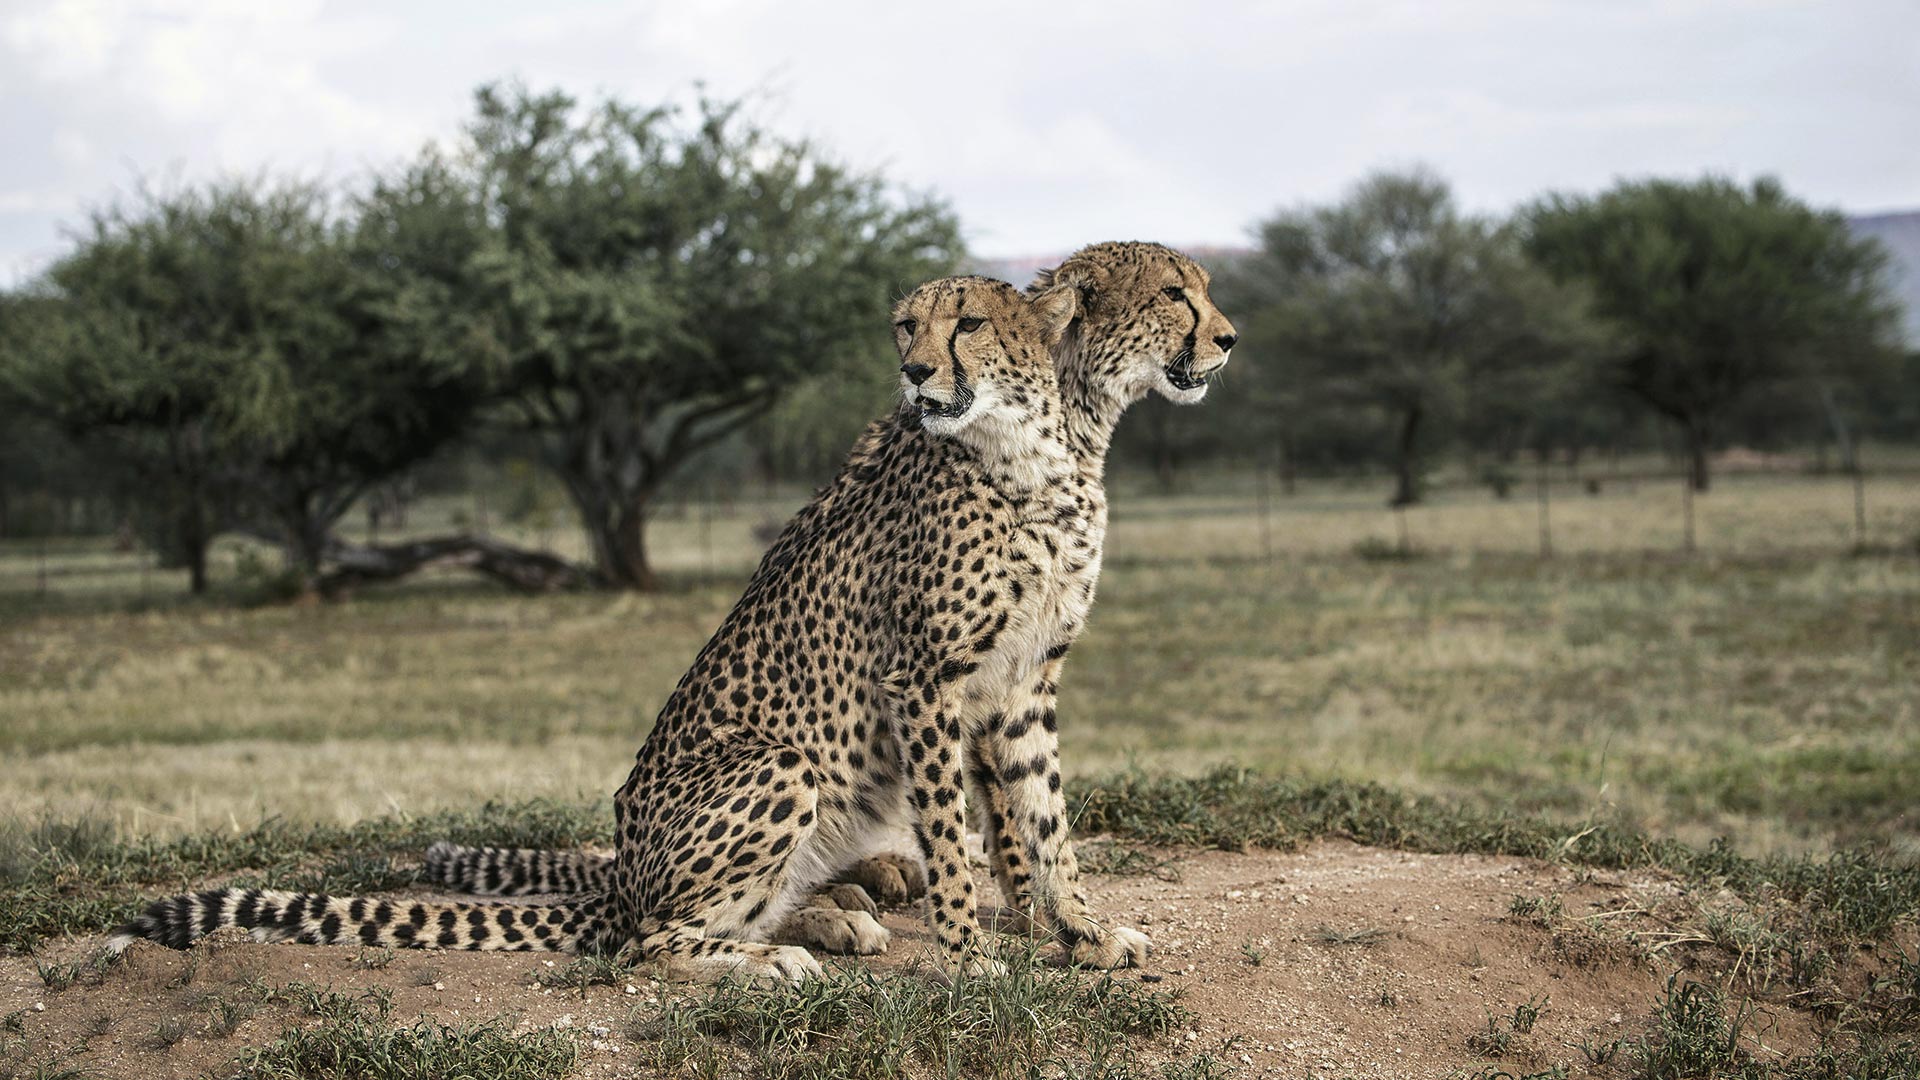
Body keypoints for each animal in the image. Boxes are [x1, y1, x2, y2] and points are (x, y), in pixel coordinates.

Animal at [108, 272, 1121, 980]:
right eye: (906, 326)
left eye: (969, 324)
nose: (913, 373)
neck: (1029, 459)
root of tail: (623, 869)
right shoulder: (924, 680)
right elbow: (953, 834)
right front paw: (971, 955)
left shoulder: (1024, 680)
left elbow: (1047, 815)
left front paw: (1084, 931)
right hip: (779, 765)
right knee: (647, 942)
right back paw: (776, 957)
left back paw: (830, 918)